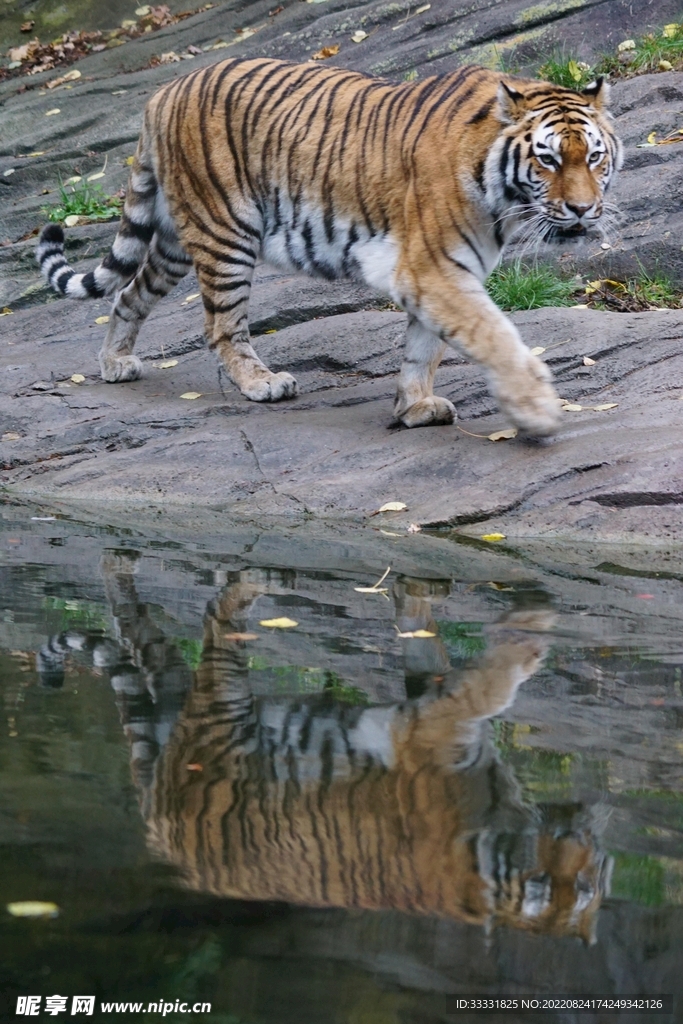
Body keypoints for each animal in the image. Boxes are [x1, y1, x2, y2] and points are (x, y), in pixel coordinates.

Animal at [36, 59, 622, 437]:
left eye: (594, 157)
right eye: (548, 159)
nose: (582, 209)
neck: (499, 189)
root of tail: (163, 92)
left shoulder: (442, 273)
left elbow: (424, 348)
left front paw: (414, 407)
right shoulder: (433, 269)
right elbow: (495, 335)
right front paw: (536, 409)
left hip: (178, 240)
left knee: (128, 294)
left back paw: (116, 362)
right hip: (225, 233)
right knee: (221, 325)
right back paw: (262, 383)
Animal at [40, 555, 609, 941]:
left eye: (591, 882)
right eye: (550, 886)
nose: (586, 835)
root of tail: (162, 833)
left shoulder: (428, 702)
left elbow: (423, 637)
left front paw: (417, 591)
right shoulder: (435, 727)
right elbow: (505, 673)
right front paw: (536, 612)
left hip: (172, 693)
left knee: (135, 628)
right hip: (223, 703)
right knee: (216, 614)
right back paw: (260, 579)